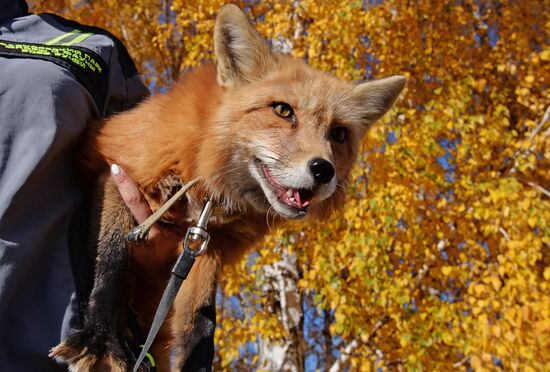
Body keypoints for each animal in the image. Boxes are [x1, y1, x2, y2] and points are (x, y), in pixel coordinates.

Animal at [50, 3, 406, 372]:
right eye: (283, 110)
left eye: (338, 134)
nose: (323, 170)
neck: (207, 186)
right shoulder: (117, 173)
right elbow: (111, 264)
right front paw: (99, 341)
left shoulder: (207, 243)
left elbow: (201, 322)